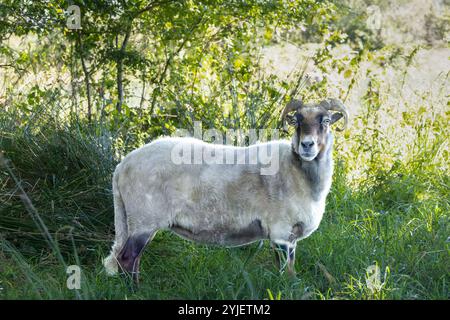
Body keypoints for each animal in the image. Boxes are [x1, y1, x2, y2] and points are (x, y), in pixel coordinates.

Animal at [104, 98, 348, 282]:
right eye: (297, 121)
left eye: (326, 120)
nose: (307, 145)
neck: (298, 173)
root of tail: (122, 166)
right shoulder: (281, 231)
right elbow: (287, 272)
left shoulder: (291, 236)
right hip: (144, 218)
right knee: (127, 258)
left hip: (136, 219)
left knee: (130, 260)